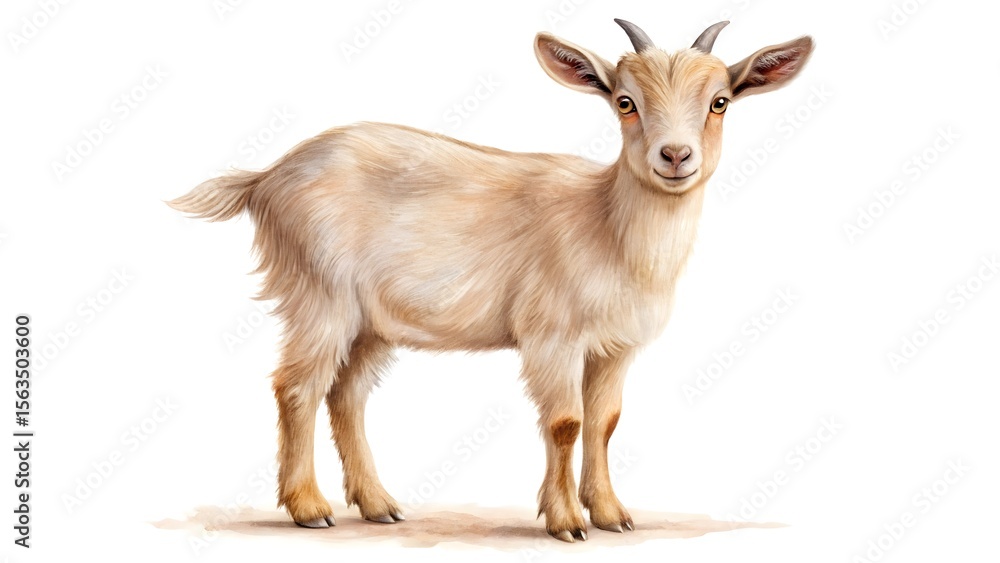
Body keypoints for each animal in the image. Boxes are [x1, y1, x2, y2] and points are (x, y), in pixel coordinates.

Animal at [169, 19, 813, 542]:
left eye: (721, 101)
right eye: (625, 102)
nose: (675, 156)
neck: (606, 222)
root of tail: (267, 176)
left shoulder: (616, 345)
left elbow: (604, 422)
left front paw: (612, 515)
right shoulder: (552, 336)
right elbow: (566, 422)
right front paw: (566, 522)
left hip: (371, 320)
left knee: (345, 394)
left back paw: (378, 505)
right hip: (319, 294)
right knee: (297, 387)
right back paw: (310, 509)